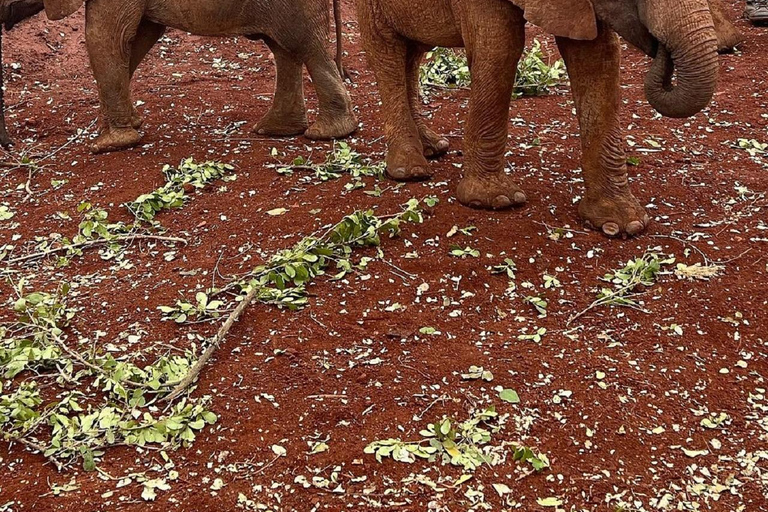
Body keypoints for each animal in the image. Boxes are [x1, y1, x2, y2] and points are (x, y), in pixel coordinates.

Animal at [43, 0, 362, 153]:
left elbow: (105, 39)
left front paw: (107, 144)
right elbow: (138, 38)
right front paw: (125, 124)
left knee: (306, 47)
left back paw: (328, 133)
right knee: (285, 50)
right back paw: (275, 130)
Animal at [354, 0, 720, 236]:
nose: (659, 48)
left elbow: (598, 59)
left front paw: (622, 225)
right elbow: (500, 49)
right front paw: (496, 201)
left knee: (413, 52)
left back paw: (433, 147)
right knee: (387, 54)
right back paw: (410, 170)